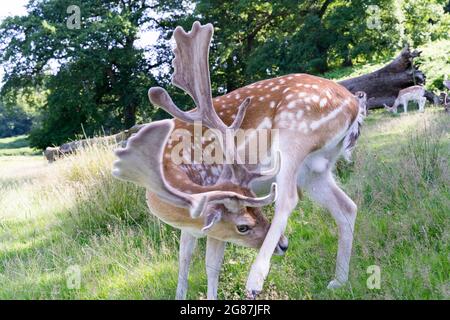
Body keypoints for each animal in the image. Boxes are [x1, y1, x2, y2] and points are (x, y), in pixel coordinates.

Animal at [111, 21, 366, 298]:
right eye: (244, 225)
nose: (284, 245)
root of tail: (354, 105)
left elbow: (211, 265)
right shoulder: (191, 225)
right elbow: (184, 259)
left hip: (295, 133)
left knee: (288, 198)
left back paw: (255, 281)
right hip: (314, 169)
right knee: (346, 206)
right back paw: (339, 281)